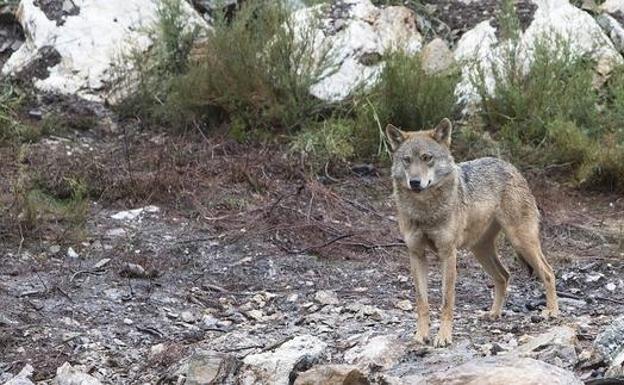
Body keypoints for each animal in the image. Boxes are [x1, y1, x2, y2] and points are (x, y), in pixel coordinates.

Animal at [386, 118, 560, 346]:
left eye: (427, 158)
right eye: (406, 160)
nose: (415, 182)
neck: (425, 210)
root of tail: (510, 166)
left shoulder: (448, 254)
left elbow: (446, 302)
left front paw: (443, 337)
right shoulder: (416, 254)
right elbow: (422, 302)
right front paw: (421, 335)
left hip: (521, 241)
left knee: (548, 272)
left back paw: (552, 311)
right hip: (480, 251)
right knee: (504, 276)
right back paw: (494, 314)